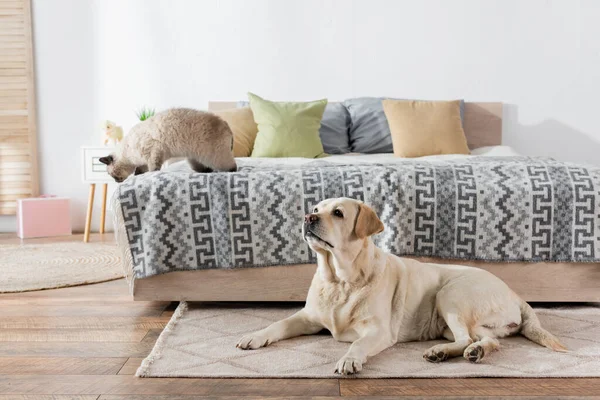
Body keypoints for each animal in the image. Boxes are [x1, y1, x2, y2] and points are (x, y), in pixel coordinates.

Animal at [100, 108, 237, 183]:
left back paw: (229, 171)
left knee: (232, 167)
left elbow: (153, 168)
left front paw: (150, 174)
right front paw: (138, 175)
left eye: (111, 175)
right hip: (194, 159)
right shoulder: (145, 160)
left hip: (214, 156)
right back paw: (207, 172)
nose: (116, 182)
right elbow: (141, 170)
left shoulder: (154, 153)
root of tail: (226, 124)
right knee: (205, 168)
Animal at [236, 197, 568, 376]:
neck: (341, 280)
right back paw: (473, 352)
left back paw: (442, 353)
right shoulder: (307, 317)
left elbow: (357, 344)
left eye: (338, 213)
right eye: (316, 207)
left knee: (466, 337)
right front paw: (254, 336)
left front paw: (349, 359)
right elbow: (278, 324)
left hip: (450, 294)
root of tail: (515, 293)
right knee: (486, 340)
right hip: (464, 321)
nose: (307, 216)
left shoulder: (378, 331)